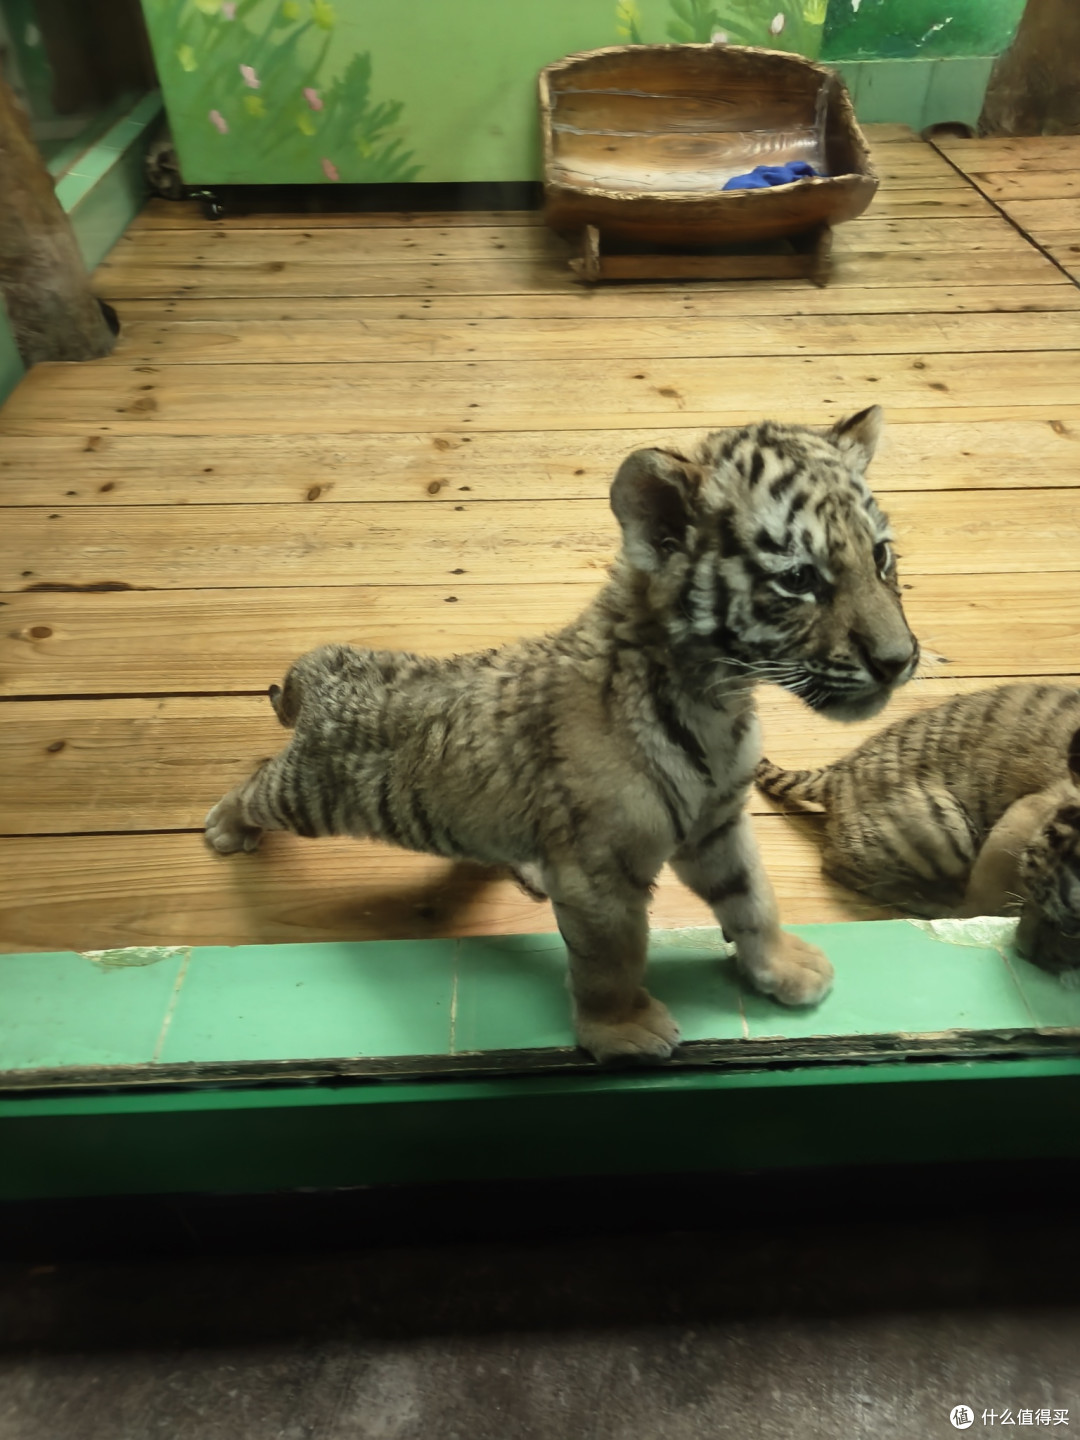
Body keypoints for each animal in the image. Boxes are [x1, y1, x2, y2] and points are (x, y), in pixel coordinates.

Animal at [205, 405, 918, 1062]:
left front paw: (784, 966)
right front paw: (623, 1031)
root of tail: (335, 663)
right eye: (799, 579)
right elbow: (612, 959)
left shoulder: (717, 822)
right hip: (311, 794)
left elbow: (752, 897)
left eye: (881, 556)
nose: (900, 659)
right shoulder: (600, 873)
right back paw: (225, 827)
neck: (718, 700)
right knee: (259, 781)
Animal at [755, 682, 1080, 982]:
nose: (1030, 955)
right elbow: (983, 901)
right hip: (946, 829)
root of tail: (839, 771)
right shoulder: (1022, 817)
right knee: (840, 864)